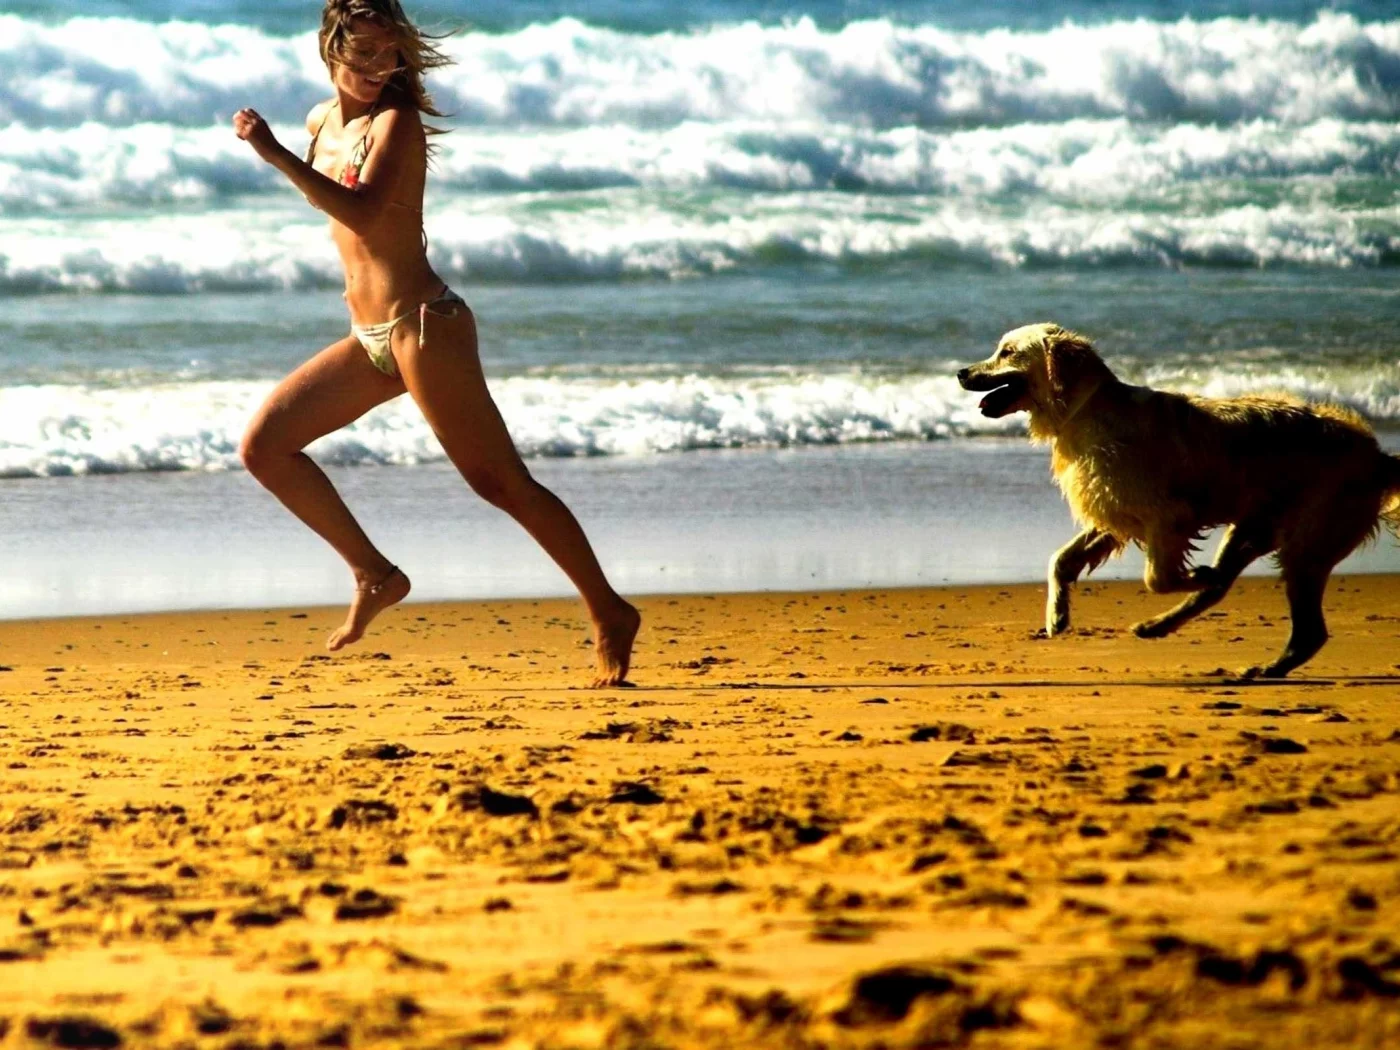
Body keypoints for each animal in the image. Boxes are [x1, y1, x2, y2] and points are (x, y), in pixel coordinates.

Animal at [957, 323, 1400, 683]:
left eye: (1007, 352)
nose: (961, 373)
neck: (1086, 411)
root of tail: (1379, 458)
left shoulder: (1166, 516)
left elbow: (1156, 578)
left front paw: (1195, 574)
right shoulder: (1115, 511)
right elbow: (1060, 560)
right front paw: (1057, 615)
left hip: (1307, 542)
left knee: (1307, 629)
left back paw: (1263, 663)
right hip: (1254, 527)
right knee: (1227, 593)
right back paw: (1162, 625)